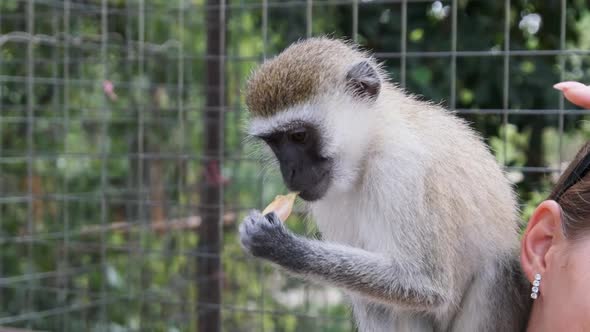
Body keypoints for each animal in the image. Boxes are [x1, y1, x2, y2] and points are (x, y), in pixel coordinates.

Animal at [239, 37, 532, 330]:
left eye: (298, 136)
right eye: (274, 142)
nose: (290, 171)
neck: (369, 149)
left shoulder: (401, 167)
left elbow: (426, 282)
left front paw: (279, 245)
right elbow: (375, 301)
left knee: (495, 267)